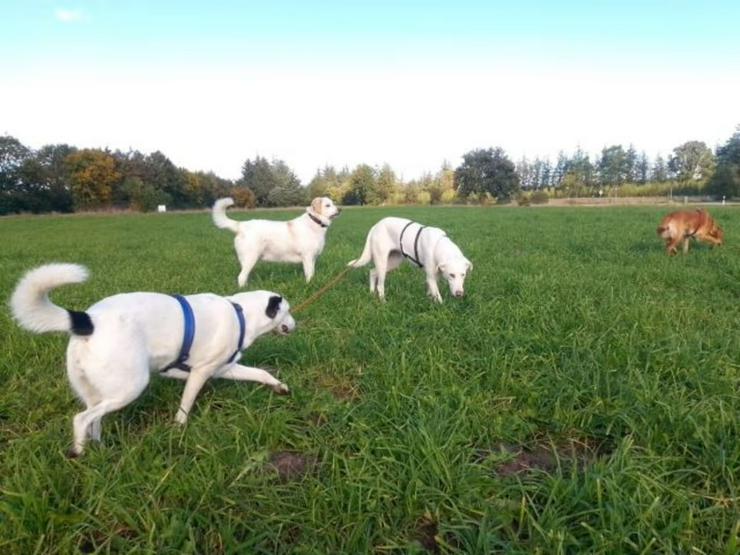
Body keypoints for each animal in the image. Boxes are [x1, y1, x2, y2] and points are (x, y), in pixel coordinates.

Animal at [10, 262, 296, 458]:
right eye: (288, 311)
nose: (296, 324)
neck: (241, 313)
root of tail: (89, 321)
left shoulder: (226, 368)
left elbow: (261, 374)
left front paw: (280, 387)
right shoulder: (201, 372)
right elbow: (186, 405)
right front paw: (178, 429)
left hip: (96, 390)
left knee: (94, 419)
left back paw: (99, 448)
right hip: (130, 386)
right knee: (81, 418)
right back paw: (79, 452)